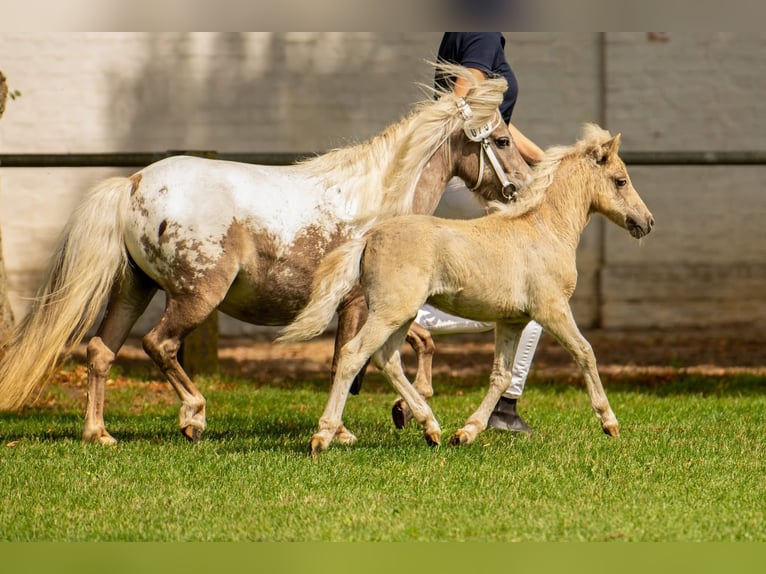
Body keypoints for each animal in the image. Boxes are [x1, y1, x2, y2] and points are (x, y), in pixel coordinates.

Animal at [0, 64, 532, 445]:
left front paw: (398, 411)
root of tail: (133, 183)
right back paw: (193, 417)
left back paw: (99, 434)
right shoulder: (362, 305)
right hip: (197, 296)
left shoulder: (378, 305)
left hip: (135, 288)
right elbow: (352, 360)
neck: (379, 199)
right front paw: (353, 428)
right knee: (160, 345)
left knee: (101, 350)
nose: (523, 188)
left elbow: (410, 345)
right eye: (503, 140)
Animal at [278, 124, 655, 457]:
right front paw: (609, 422)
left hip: (402, 314)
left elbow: (501, 375)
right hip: (390, 312)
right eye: (620, 180)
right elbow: (585, 351)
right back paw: (323, 437)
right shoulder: (552, 309)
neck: (544, 229)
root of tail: (370, 235)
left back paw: (431, 429)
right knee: (353, 354)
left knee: (387, 358)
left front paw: (466, 432)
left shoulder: (512, 321)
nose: (647, 222)